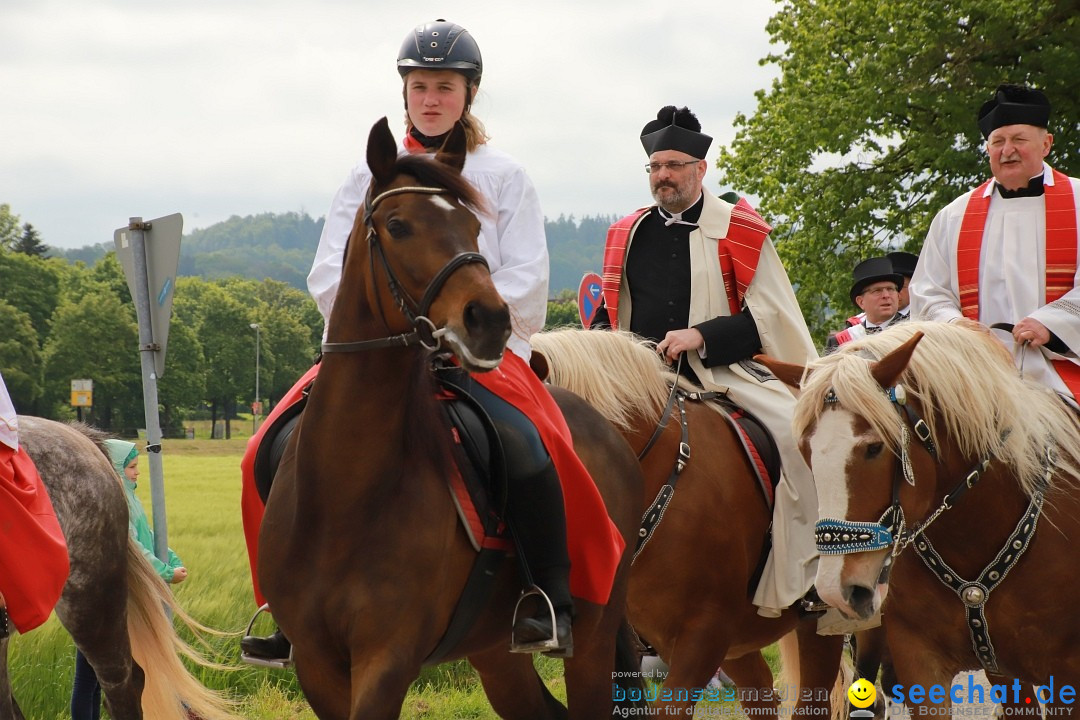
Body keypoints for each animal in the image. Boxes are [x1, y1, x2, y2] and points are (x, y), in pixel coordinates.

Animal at [257, 119, 643, 720]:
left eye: (472, 225)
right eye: (397, 226)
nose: (488, 319)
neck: (348, 489)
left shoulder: (387, 658)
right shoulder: (317, 665)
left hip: (595, 639)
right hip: (496, 653)